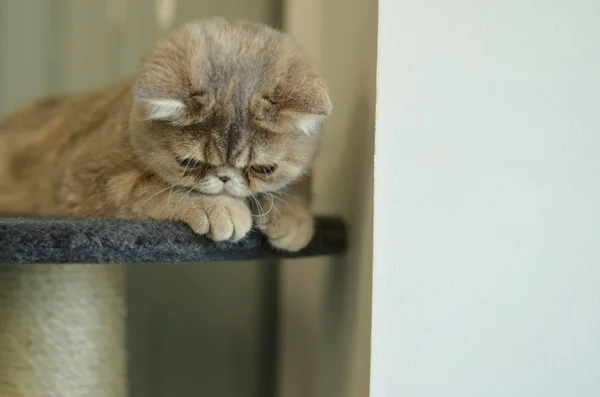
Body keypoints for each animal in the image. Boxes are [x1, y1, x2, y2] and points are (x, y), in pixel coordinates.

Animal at [0, 17, 330, 251]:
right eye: (188, 164)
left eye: (263, 169)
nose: (225, 178)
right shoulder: (84, 178)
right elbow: (151, 188)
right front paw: (219, 206)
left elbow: (295, 185)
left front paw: (293, 216)